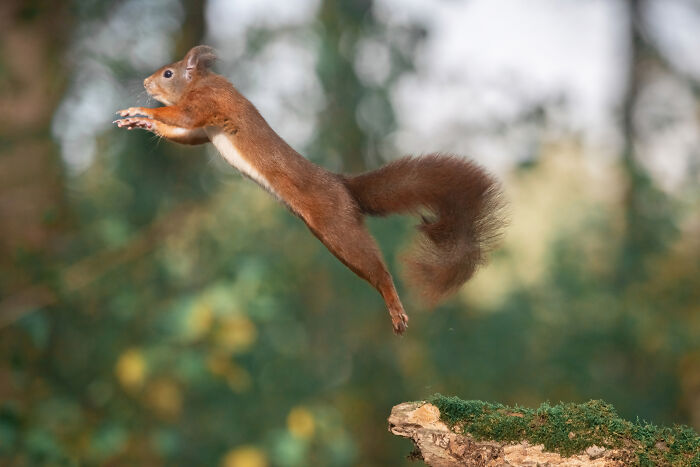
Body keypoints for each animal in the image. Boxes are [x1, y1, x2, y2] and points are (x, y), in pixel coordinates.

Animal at [114, 45, 506, 335]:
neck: (201, 82)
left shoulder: (210, 102)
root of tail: (342, 185)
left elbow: (183, 117)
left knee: (378, 270)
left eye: (168, 73)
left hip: (337, 228)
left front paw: (140, 109)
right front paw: (141, 121)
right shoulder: (203, 128)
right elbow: (185, 134)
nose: (145, 82)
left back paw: (396, 309)